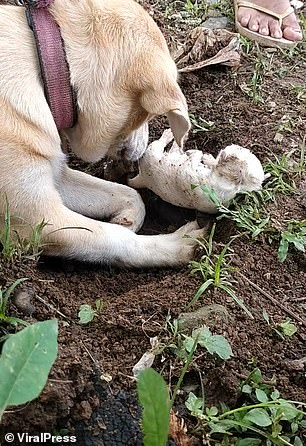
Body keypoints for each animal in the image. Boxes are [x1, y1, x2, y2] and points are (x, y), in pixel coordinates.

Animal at [0, 0, 208, 268]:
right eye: (147, 116)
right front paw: (178, 244)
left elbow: (131, 196)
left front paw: (126, 219)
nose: (142, 152)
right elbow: (115, 238)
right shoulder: (36, 219)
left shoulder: (56, 175)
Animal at [128, 129, 264, 213]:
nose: (226, 149)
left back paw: (171, 136)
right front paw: (206, 157)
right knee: (174, 149)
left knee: (165, 145)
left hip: (152, 151)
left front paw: (199, 155)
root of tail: (143, 178)